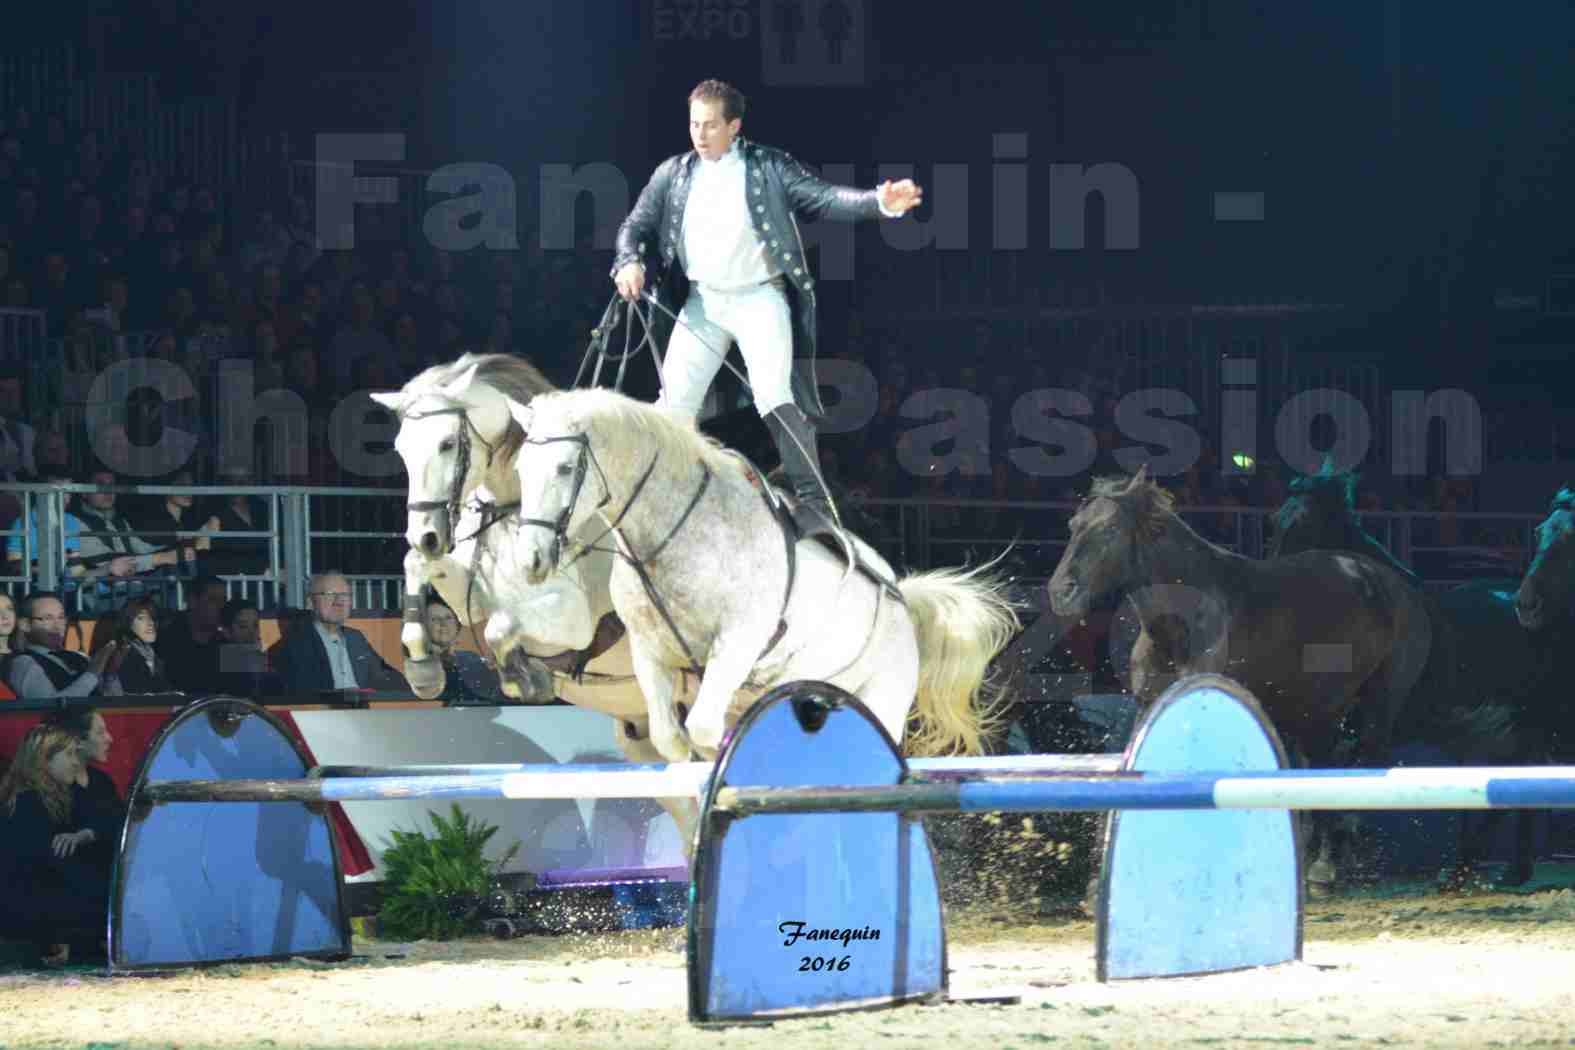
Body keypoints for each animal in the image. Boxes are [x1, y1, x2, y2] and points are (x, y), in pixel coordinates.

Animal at [497, 390, 1026, 768]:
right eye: (520, 468)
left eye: (565, 467)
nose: (531, 560)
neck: (676, 532)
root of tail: (904, 601)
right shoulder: (650, 652)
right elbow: (671, 739)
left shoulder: (736, 643)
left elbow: (706, 731)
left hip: (883, 702)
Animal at [1052, 469, 1436, 887]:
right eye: (1072, 525)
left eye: (1109, 530)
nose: (1060, 592)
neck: (1182, 621)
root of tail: (1395, 585)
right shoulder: (1149, 706)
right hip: (1317, 709)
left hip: (1379, 701)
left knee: (1367, 756)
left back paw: (1329, 860)